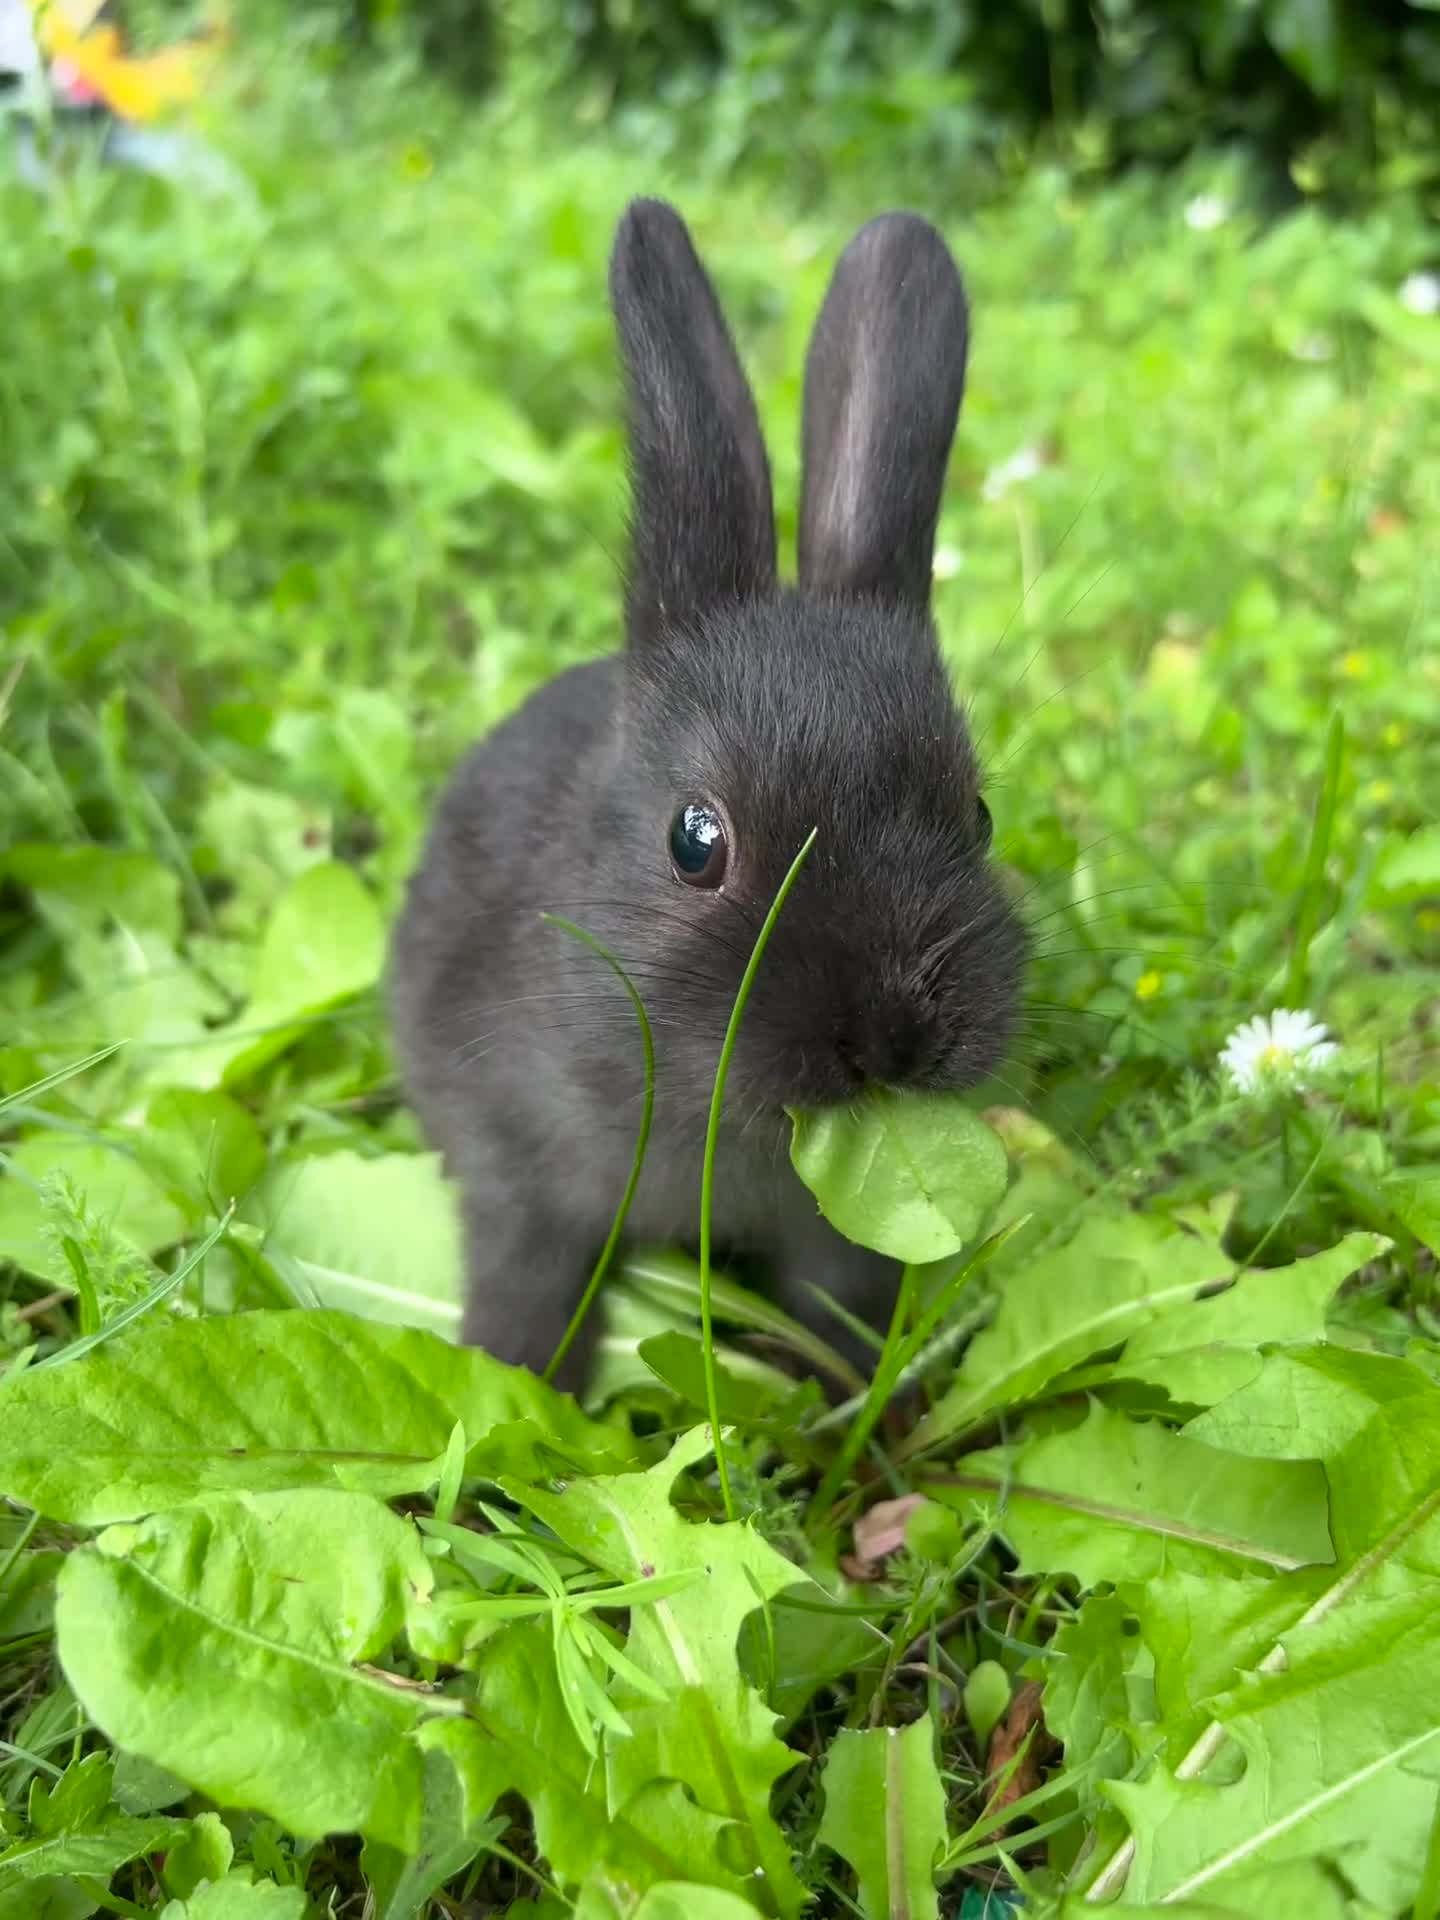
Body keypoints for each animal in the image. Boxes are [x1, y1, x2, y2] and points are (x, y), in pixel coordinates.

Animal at [388, 198, 1027, 1391]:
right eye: (696, 840)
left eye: (978, 815)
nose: (893, 1037)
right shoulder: (517, 1178)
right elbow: (528, 1280)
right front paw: (513, 1386)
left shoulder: (836, 1241)